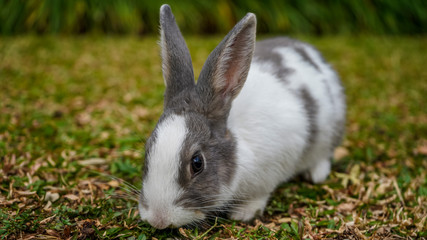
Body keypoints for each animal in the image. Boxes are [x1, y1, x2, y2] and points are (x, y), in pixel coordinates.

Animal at [139, 3, 346, 229]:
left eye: (197, 163)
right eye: (147, 149)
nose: (158, 219)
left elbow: (260, 195)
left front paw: (244, 213)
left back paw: (316, 174)